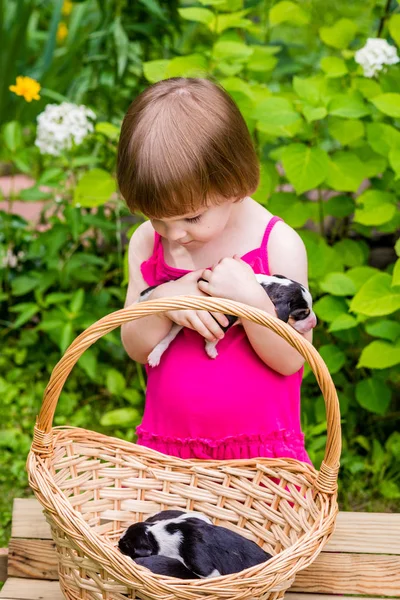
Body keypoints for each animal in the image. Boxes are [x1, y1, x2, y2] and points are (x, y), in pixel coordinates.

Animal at [138, 272, 316, 366]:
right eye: (302, 313)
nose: (315, 323)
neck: (266, 287)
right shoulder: (226, 316)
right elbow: (218, 335)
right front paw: (211, 350)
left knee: (166, 339)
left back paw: (154, 357)